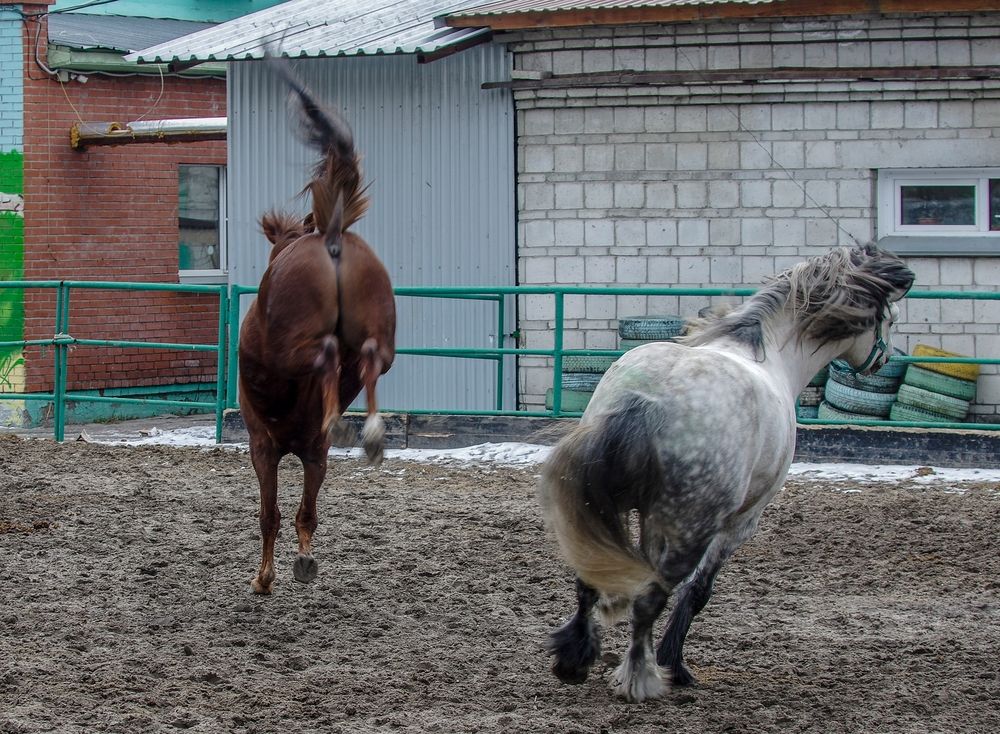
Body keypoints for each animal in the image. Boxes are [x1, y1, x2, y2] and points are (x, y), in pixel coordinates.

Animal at [238, 69, 396, 596]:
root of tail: (329, 233)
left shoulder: (262, 447)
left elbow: (270, 516)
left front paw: (264, 577)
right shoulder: (315, 455)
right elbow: (306, 513)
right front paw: (302, 560)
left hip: (291, 349)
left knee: (327, 353)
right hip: (381, 334)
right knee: (367, 359)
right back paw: (368, 430)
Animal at [539, 244, 914, 702]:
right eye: (890, 318)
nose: (885, 359)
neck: (770, 353)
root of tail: (649, 400)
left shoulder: (650, 518)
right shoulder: (741, 522)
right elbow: (699, 591)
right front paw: (673, 663)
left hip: (606, 508)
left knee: (589, 579)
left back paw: (575, 660)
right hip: (692, 530)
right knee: (650, 598)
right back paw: (641, 677)